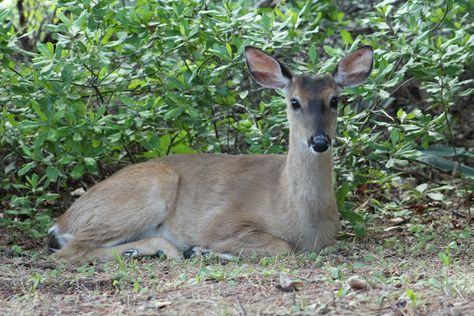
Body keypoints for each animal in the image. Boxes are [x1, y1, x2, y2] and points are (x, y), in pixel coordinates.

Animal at [48, 43, 374, 262]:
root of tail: (62, 221)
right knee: (69, 252)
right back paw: (167, 250)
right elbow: (282, 247)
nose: (319, 141)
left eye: (334, 100)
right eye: (294, 101)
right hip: (144, 194)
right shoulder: (221, 221)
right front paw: (205, 249)